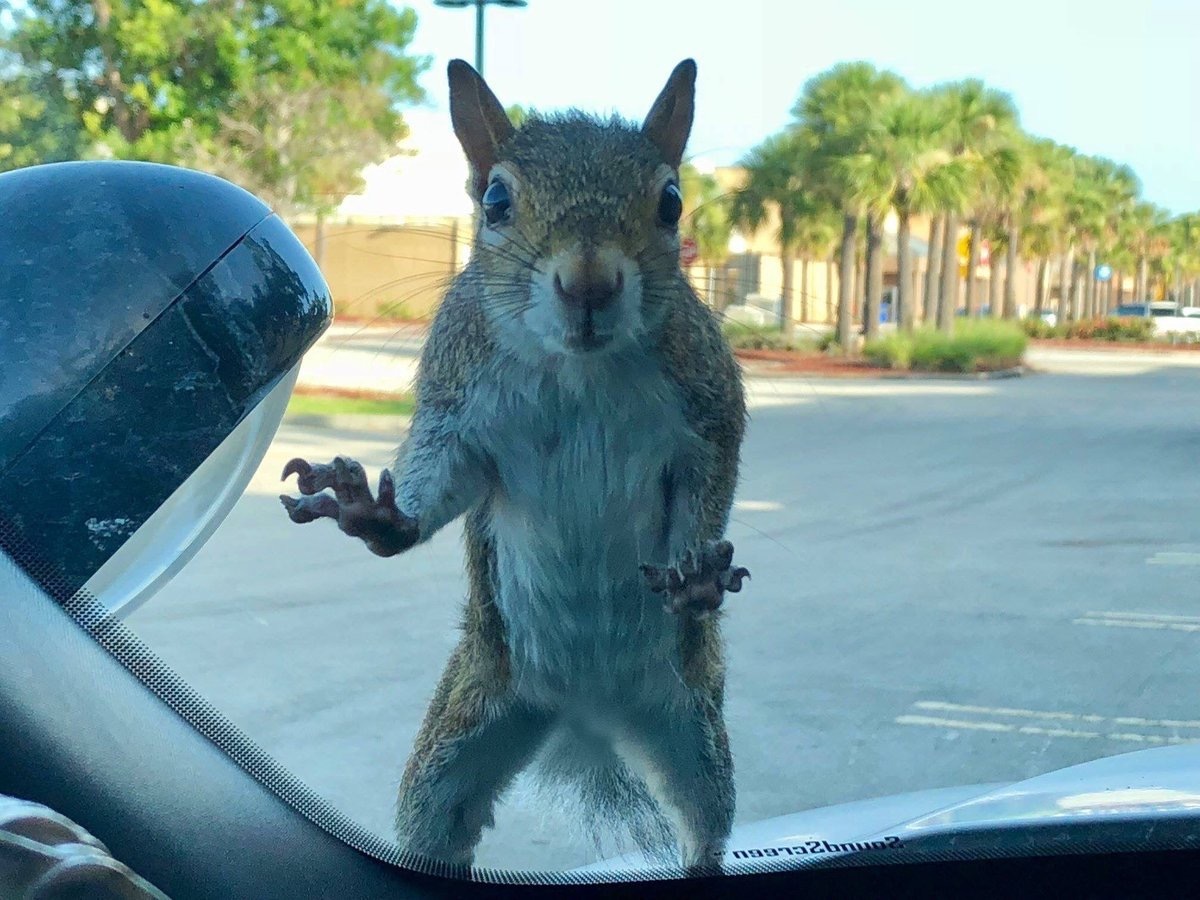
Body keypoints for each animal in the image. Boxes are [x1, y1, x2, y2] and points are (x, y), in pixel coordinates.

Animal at [282, 58, 748, 873]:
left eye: (671, 201)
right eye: (496, 199)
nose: (589, 284)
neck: (579, 371)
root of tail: (590, 709)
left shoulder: (708, 408)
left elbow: (710, 486)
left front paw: (695, 576)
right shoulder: (460, 410)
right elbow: (442, 481)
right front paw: (374, 511)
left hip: (691, 723)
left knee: (704, 819)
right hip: (466, 728)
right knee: (436, 822)